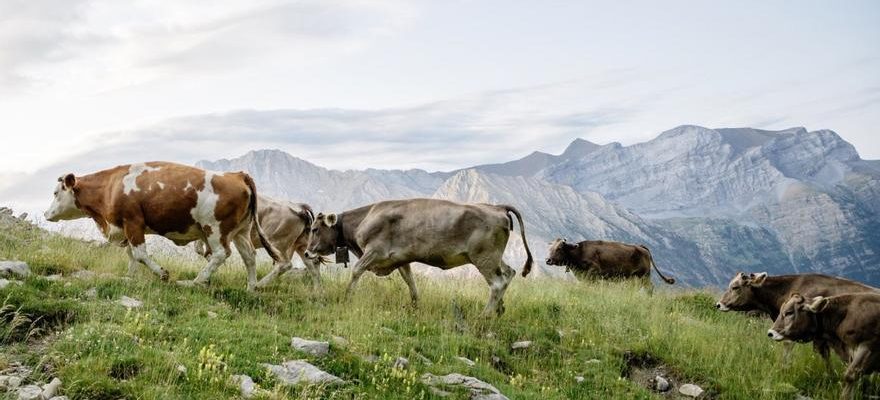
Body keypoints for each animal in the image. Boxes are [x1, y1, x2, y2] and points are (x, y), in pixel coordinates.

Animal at [43, 161, 280, 290]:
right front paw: (130, 277)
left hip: (215, 228)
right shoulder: (126, 227)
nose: (46, 214)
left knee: (221, 254)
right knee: (249, 256)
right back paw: (251, 287)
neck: (111, 187)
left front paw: (162, 273)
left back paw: (195, 281)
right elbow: (131, 255)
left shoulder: (133, 222)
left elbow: (139, 254)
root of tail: (238, 175)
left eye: (55, 193)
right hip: (241, 231)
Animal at [194, 195, 322, 290]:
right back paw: (317, 292)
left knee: (285, 264)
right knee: (312, 263)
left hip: (277, 243)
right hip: (301, 244)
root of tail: (301, 208)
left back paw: (258, 285)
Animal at [302, 198, 536, 318]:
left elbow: (356, 270)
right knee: (509, 273)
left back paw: (485, 315)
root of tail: (497, 207)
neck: (363, 219)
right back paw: (499, 310)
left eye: (315, 229)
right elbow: (410, 280)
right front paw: (415, 305)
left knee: (497, 282)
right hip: (494, 257)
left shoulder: (374, 251)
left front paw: (347, 296)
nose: (306, 252)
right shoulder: (401, 258)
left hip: (483, 257)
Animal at [544, 239, 672, 286]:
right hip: (635, 277)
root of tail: (640, 247)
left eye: (559, 248)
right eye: (550, 248)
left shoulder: (594, 272)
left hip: (644, 275)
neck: (579, 252)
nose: (547, 260)